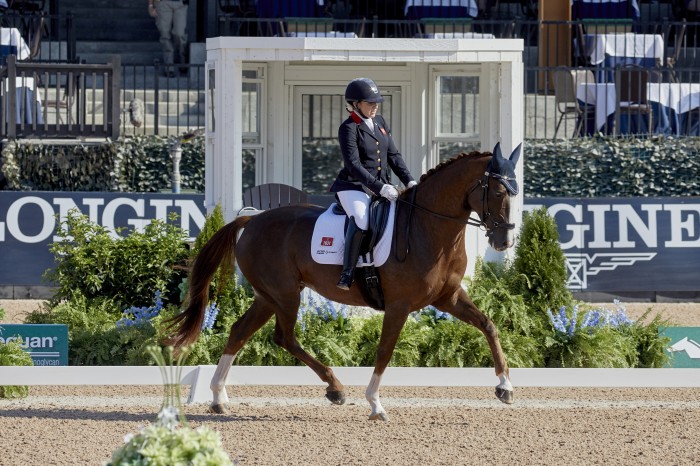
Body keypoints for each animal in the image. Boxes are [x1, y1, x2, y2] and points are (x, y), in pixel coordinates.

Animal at [168, 142, 520, 418]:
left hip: (268, 296)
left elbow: (488, 325)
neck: (428, 228)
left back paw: (218, 397)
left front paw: (505, 386)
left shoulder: (448, 297)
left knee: (240, 331)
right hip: (285, 294)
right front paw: (375, 404)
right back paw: (335, 387)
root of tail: (252, 220)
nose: (504, 242)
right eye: (497, 191)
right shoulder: (399, 305)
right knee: (285, 337)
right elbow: (384, 351)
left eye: (515, 192)